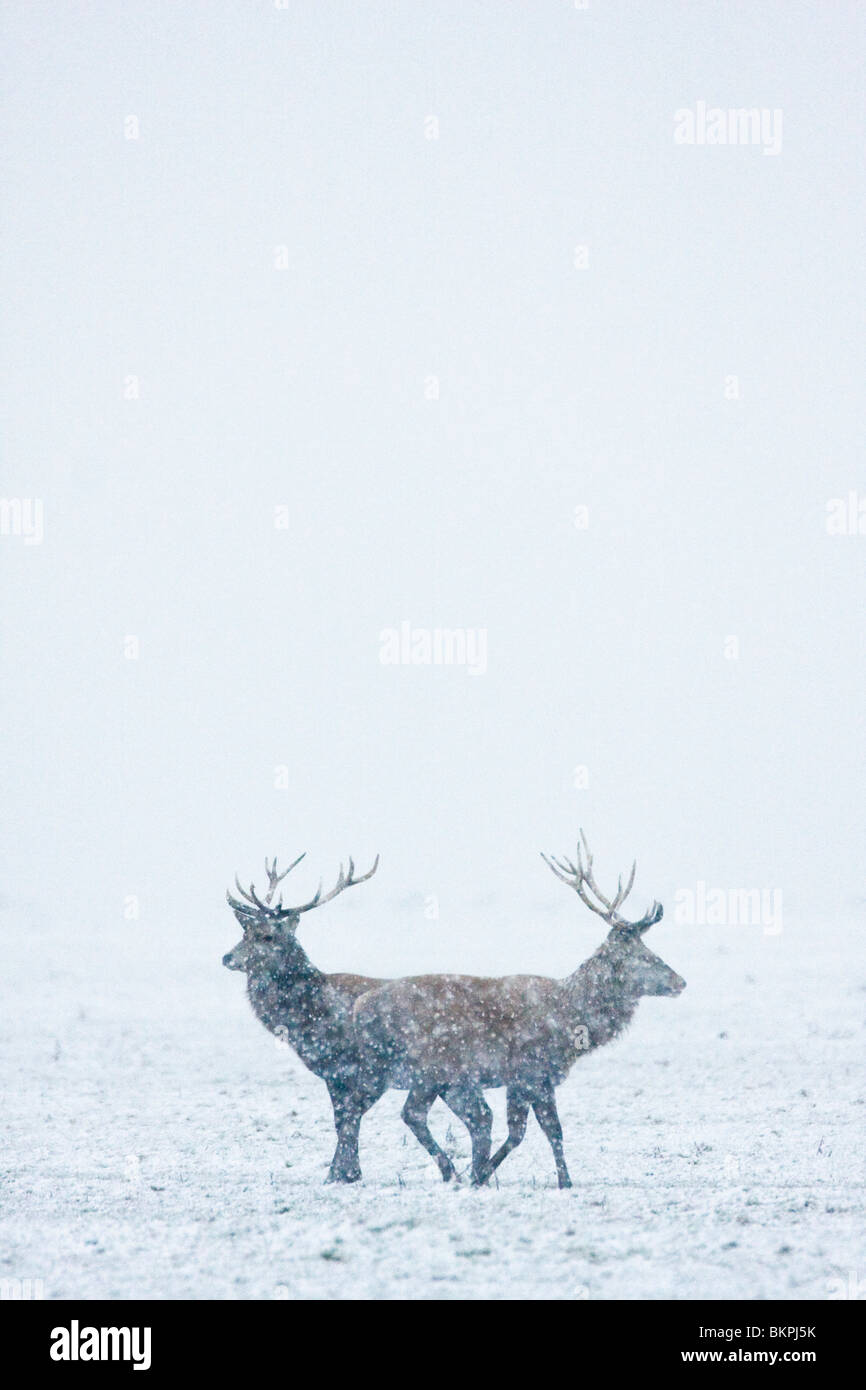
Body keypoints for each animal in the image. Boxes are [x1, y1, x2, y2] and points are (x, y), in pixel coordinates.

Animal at [223, 856, 494, 1184]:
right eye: (244, 934)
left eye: (268, 936)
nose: (227, 958)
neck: (312, 1013)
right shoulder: (333, 1074)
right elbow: (341, 1119)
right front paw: (347, 1172)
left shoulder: (360, 1068)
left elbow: (349, 1119)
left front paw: (341, 1174)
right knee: (480, 1116)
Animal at [350, 828, 683, 1189]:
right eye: (643, 956)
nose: (680, 981)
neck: (571, 1021)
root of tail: (360, 1007)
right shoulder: (534, 1072)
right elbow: (549, 1130)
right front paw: (561, 1181)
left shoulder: (521, 1080)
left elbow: (518, 1133)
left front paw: (482, 1173)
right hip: (427, 1065)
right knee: (410, 1112)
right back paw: (448, 1170)